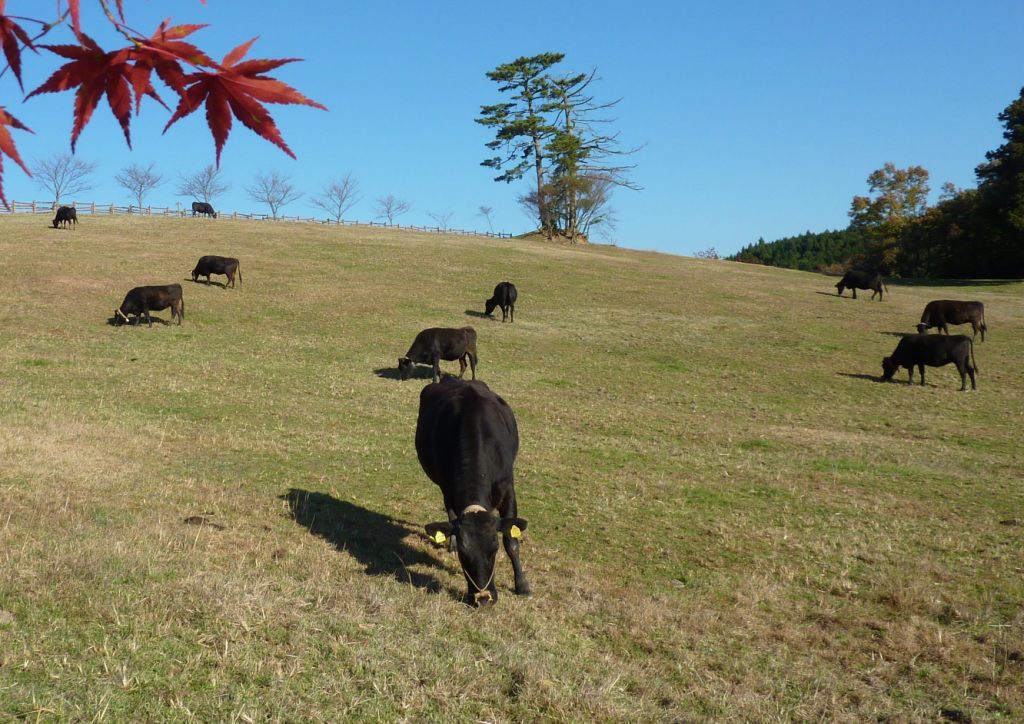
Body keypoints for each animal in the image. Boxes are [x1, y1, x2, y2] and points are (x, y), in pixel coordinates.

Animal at [415, 376, 532, 610]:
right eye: (463, 554)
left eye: (494, 549)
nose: (483, 599)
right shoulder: (448, 487)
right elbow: (452, 516)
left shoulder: (508, 489)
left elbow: (511, 540)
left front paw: (522, 586)